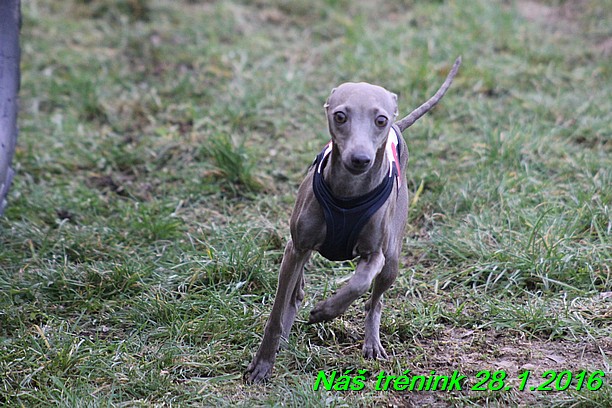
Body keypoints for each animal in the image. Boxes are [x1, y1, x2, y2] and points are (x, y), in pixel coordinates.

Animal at [246, 56, 462, 382]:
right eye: (340, 116)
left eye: (380, 120)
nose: (360, 159)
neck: (348, 194)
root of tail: (401, 126)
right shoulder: (295, 247)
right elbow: (276, 310)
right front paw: (263, 362)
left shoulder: (375, 255)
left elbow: (359, 283)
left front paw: (325, 311)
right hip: (302, 252)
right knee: (295, 291)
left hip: (393, 260)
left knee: (376, 301)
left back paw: (371, 342)